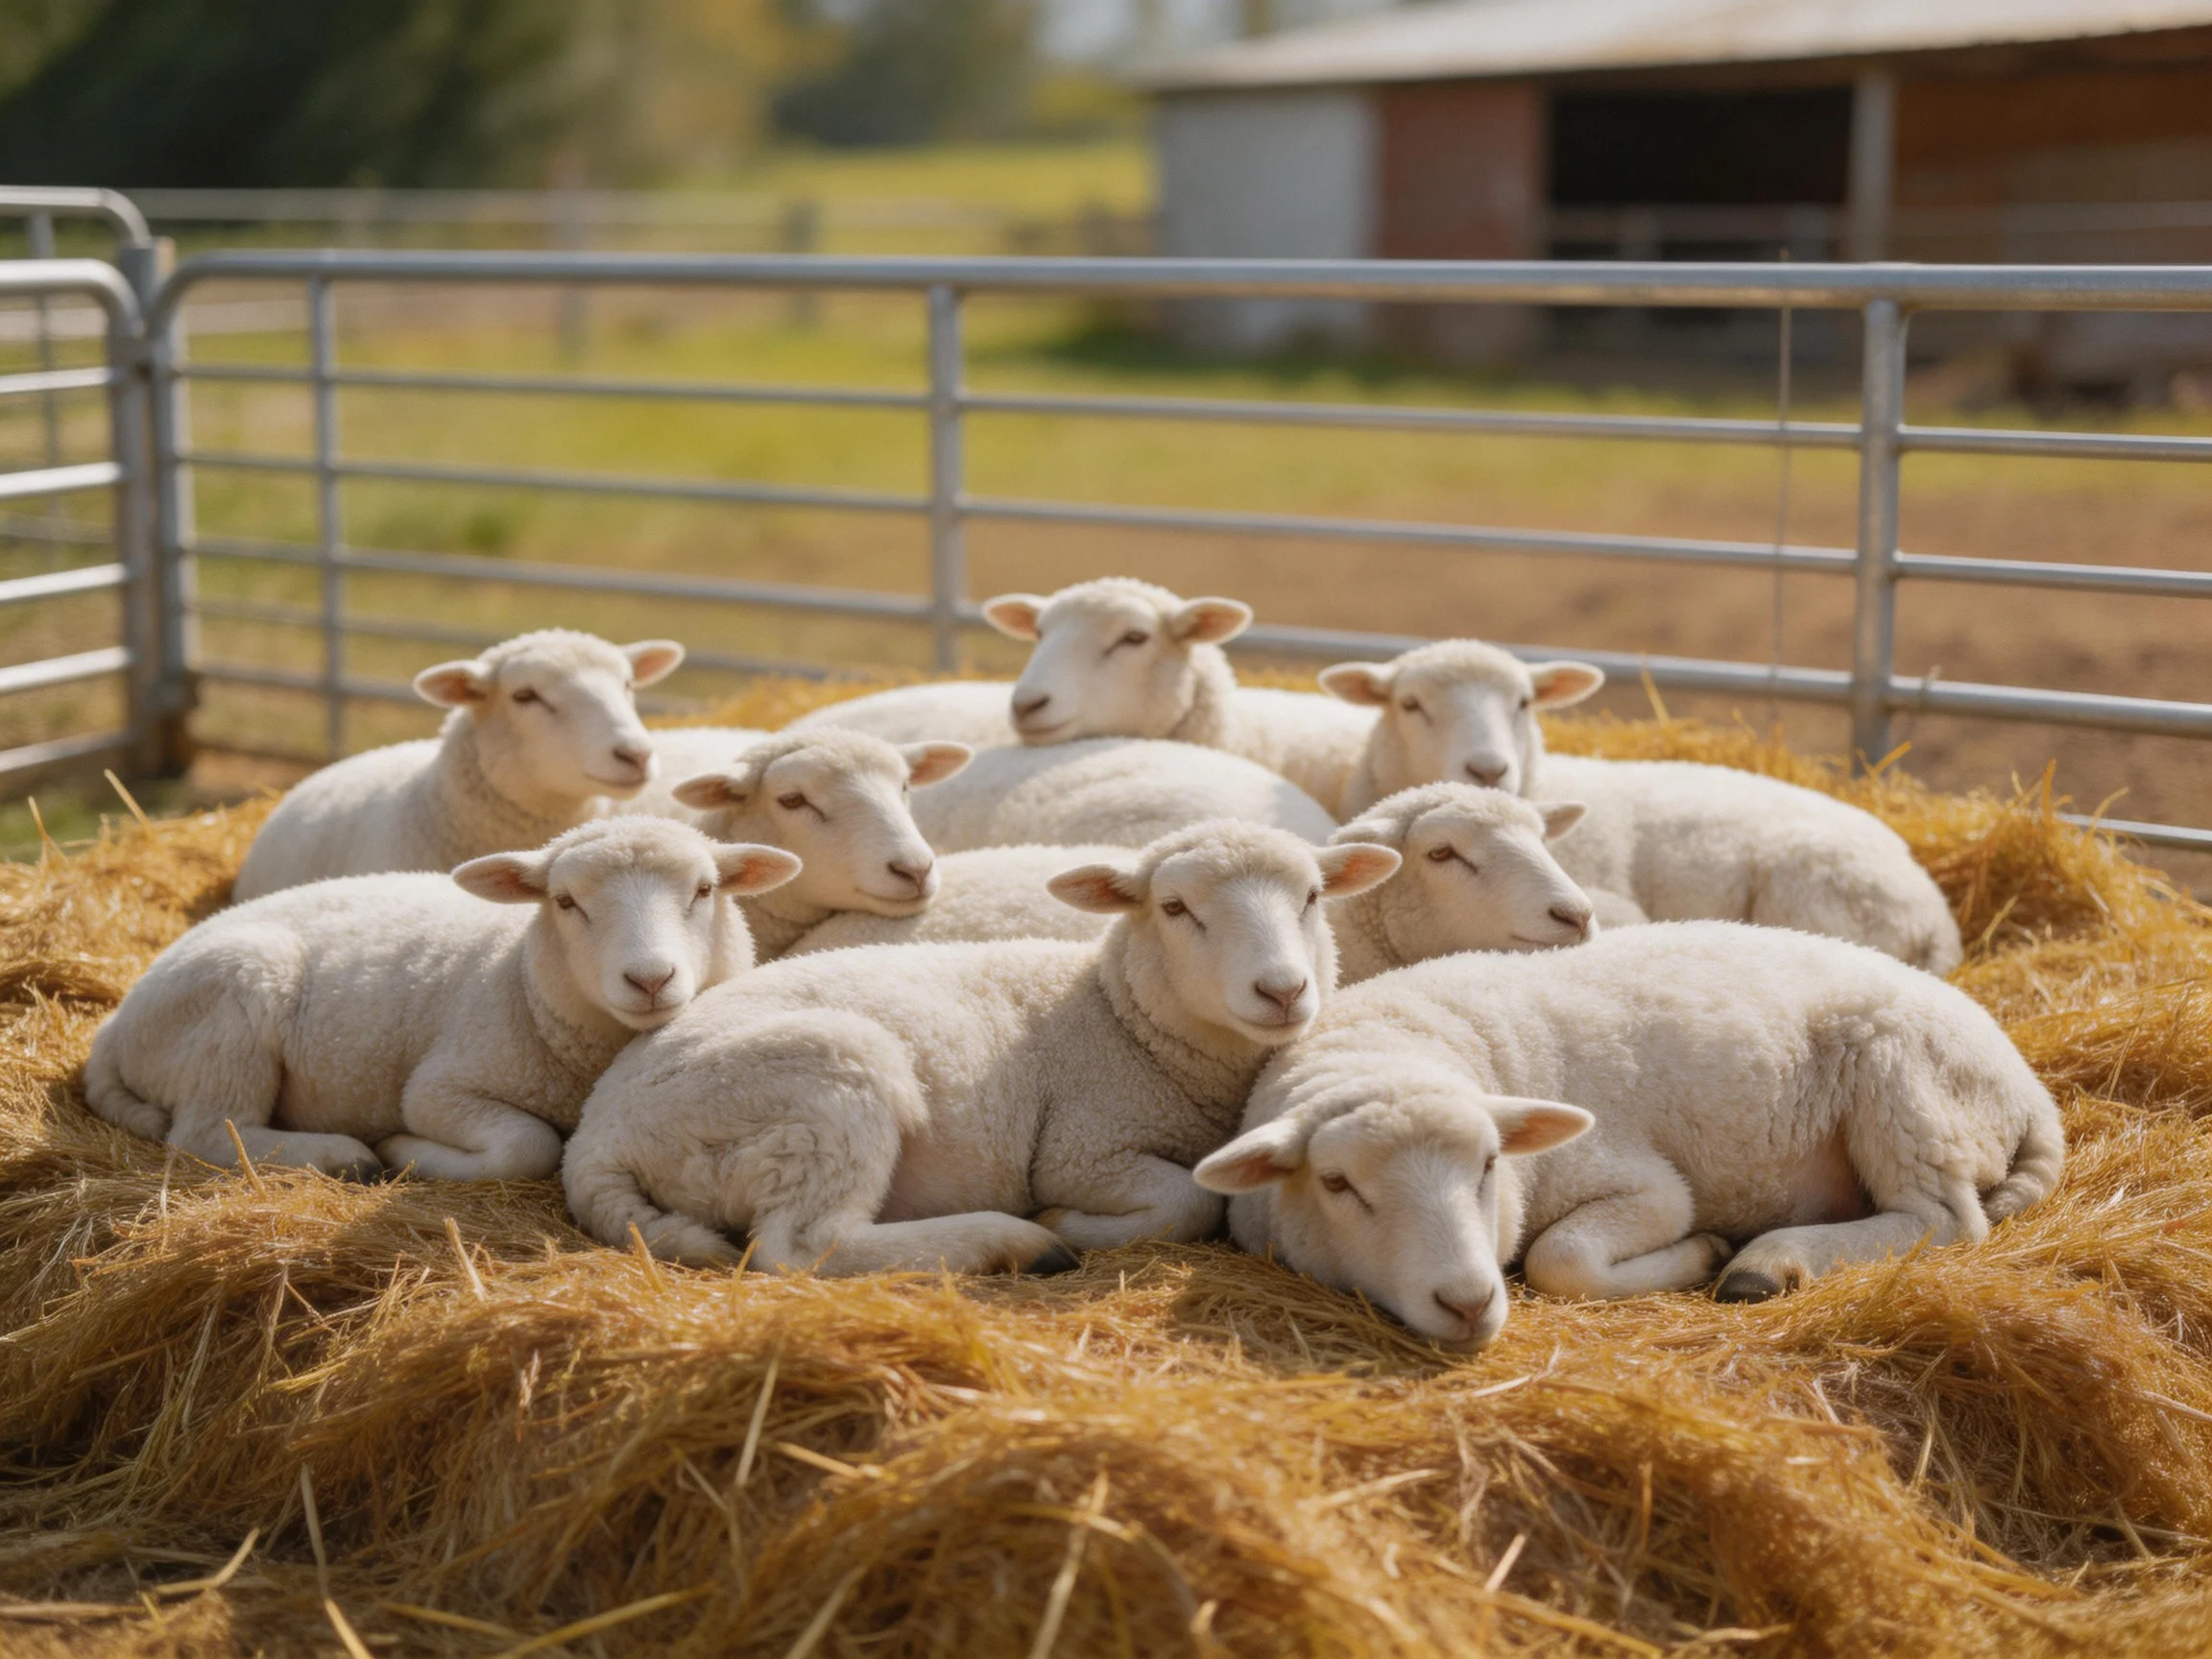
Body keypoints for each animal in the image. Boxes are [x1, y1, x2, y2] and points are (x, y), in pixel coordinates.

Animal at [85, 817, 802, 1182]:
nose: (650, 979)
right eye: (565, 902)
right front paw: (405, 1150)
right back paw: (344, 1155)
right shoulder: (441, 1087)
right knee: (207, 1131)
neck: (518, 977)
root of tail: (115, 1026)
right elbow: (528, 1148)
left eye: (705, 890)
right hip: (232, 1004)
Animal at [560, 820, 1401, 1274]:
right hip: (826, 1084)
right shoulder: (1085, 1145)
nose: (1283, 990)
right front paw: (1070, 1225)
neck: (1121, 1018)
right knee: (804, 1247)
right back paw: (1015, 1243)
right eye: (1174, 907)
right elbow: (1189, 1199)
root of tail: (597, 1137)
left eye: (1313, 897)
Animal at [1195, 921, 2062, 1350]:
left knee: (1941, 1219)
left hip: (1903, 1083)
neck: (1397, 1042)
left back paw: (1767, 1262)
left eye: (1488, 1165)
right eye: (1338, 1184)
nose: (1469, 1302)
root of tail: (2029, 1090)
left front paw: (1703, 1253)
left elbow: (1563, 1260)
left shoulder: (1643, 1186)